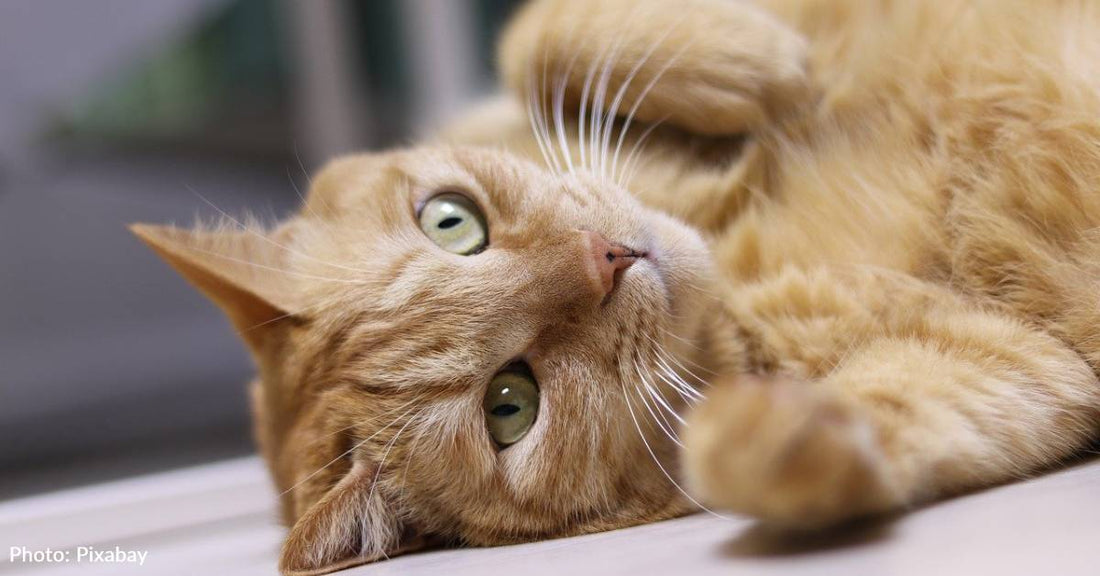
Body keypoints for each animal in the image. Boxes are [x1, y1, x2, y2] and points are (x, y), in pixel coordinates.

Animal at [135, 0, 1100, 571]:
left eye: (451, 222)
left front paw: (752, 55)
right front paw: (772, 431)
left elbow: (533, 40)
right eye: (509, 405)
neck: (728, 236)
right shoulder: (1010, 363)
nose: (606, 258)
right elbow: (883, 418)